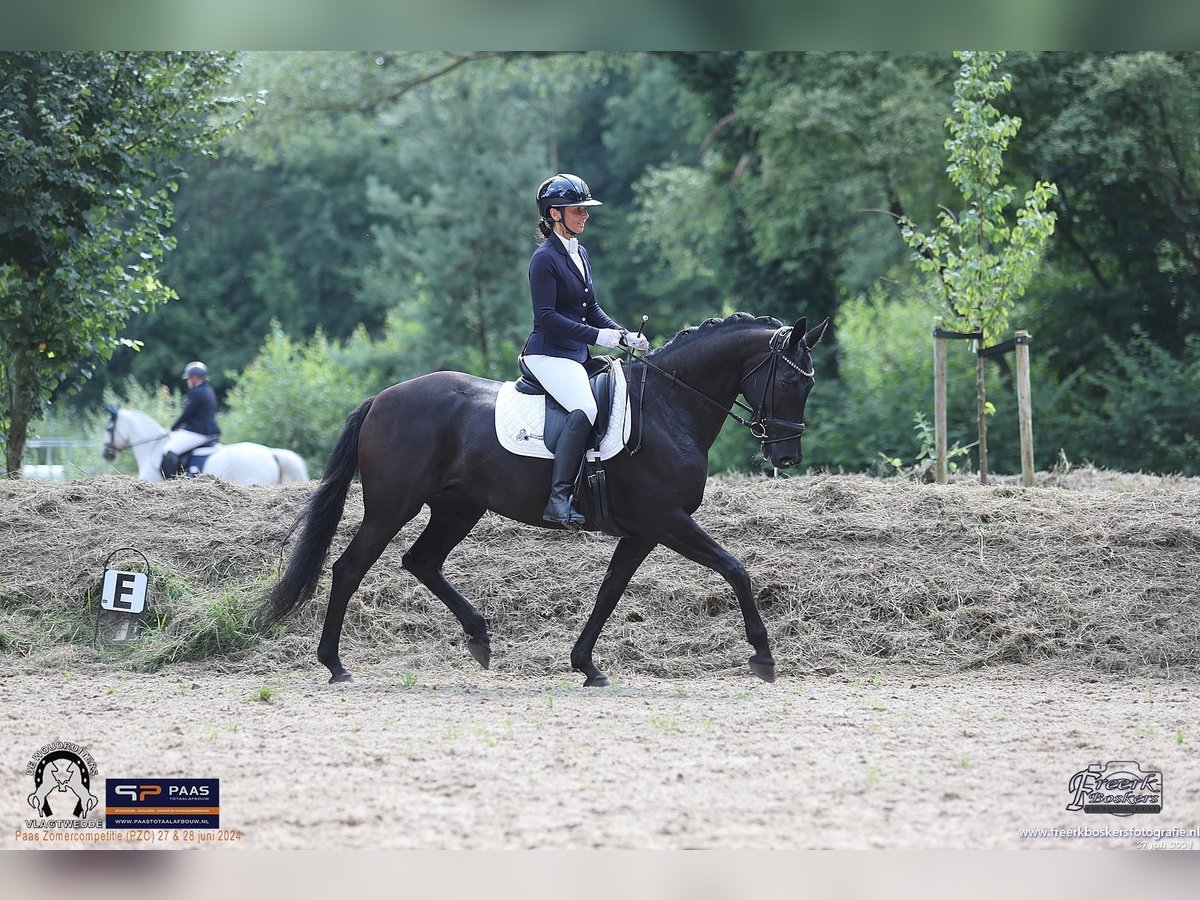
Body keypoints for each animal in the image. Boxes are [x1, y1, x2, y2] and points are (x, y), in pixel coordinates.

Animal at [259, 314, 830, 686]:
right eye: (787, 381)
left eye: (809, 384)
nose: (786, 456)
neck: (670, 406)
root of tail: (382, 398)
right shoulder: (667, 520)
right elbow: (735, 568)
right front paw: (763, 656)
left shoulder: (644, 531)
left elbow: (610, 591)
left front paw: (587, 665)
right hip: (391, 506)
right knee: (350, 567)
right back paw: (334, 664)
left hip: (458, 508)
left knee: (421, 561)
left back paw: (479, 638)